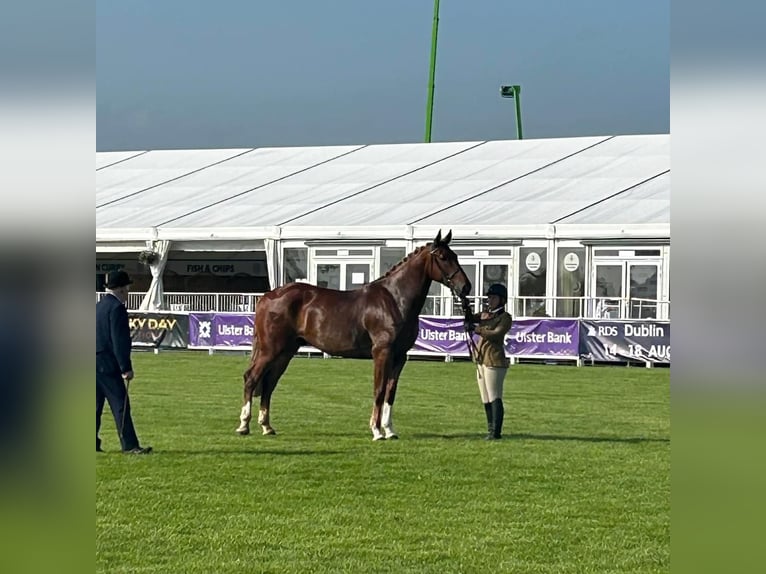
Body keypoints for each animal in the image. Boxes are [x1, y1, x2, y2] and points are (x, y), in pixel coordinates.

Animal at [236, 230, 474, 440]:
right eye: (443, 257)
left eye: (456, 255)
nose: (466, 287)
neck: (394, 299)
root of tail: (268, 296)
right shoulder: (382, 352)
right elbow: (379, 390)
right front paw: (376, 431)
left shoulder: (400, 356)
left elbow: (390, 392)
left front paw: (390, 430)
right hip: (270, 349)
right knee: (251, 378)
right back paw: (244, 425)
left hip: (286, 351)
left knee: (269, 383)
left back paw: (267, 427)